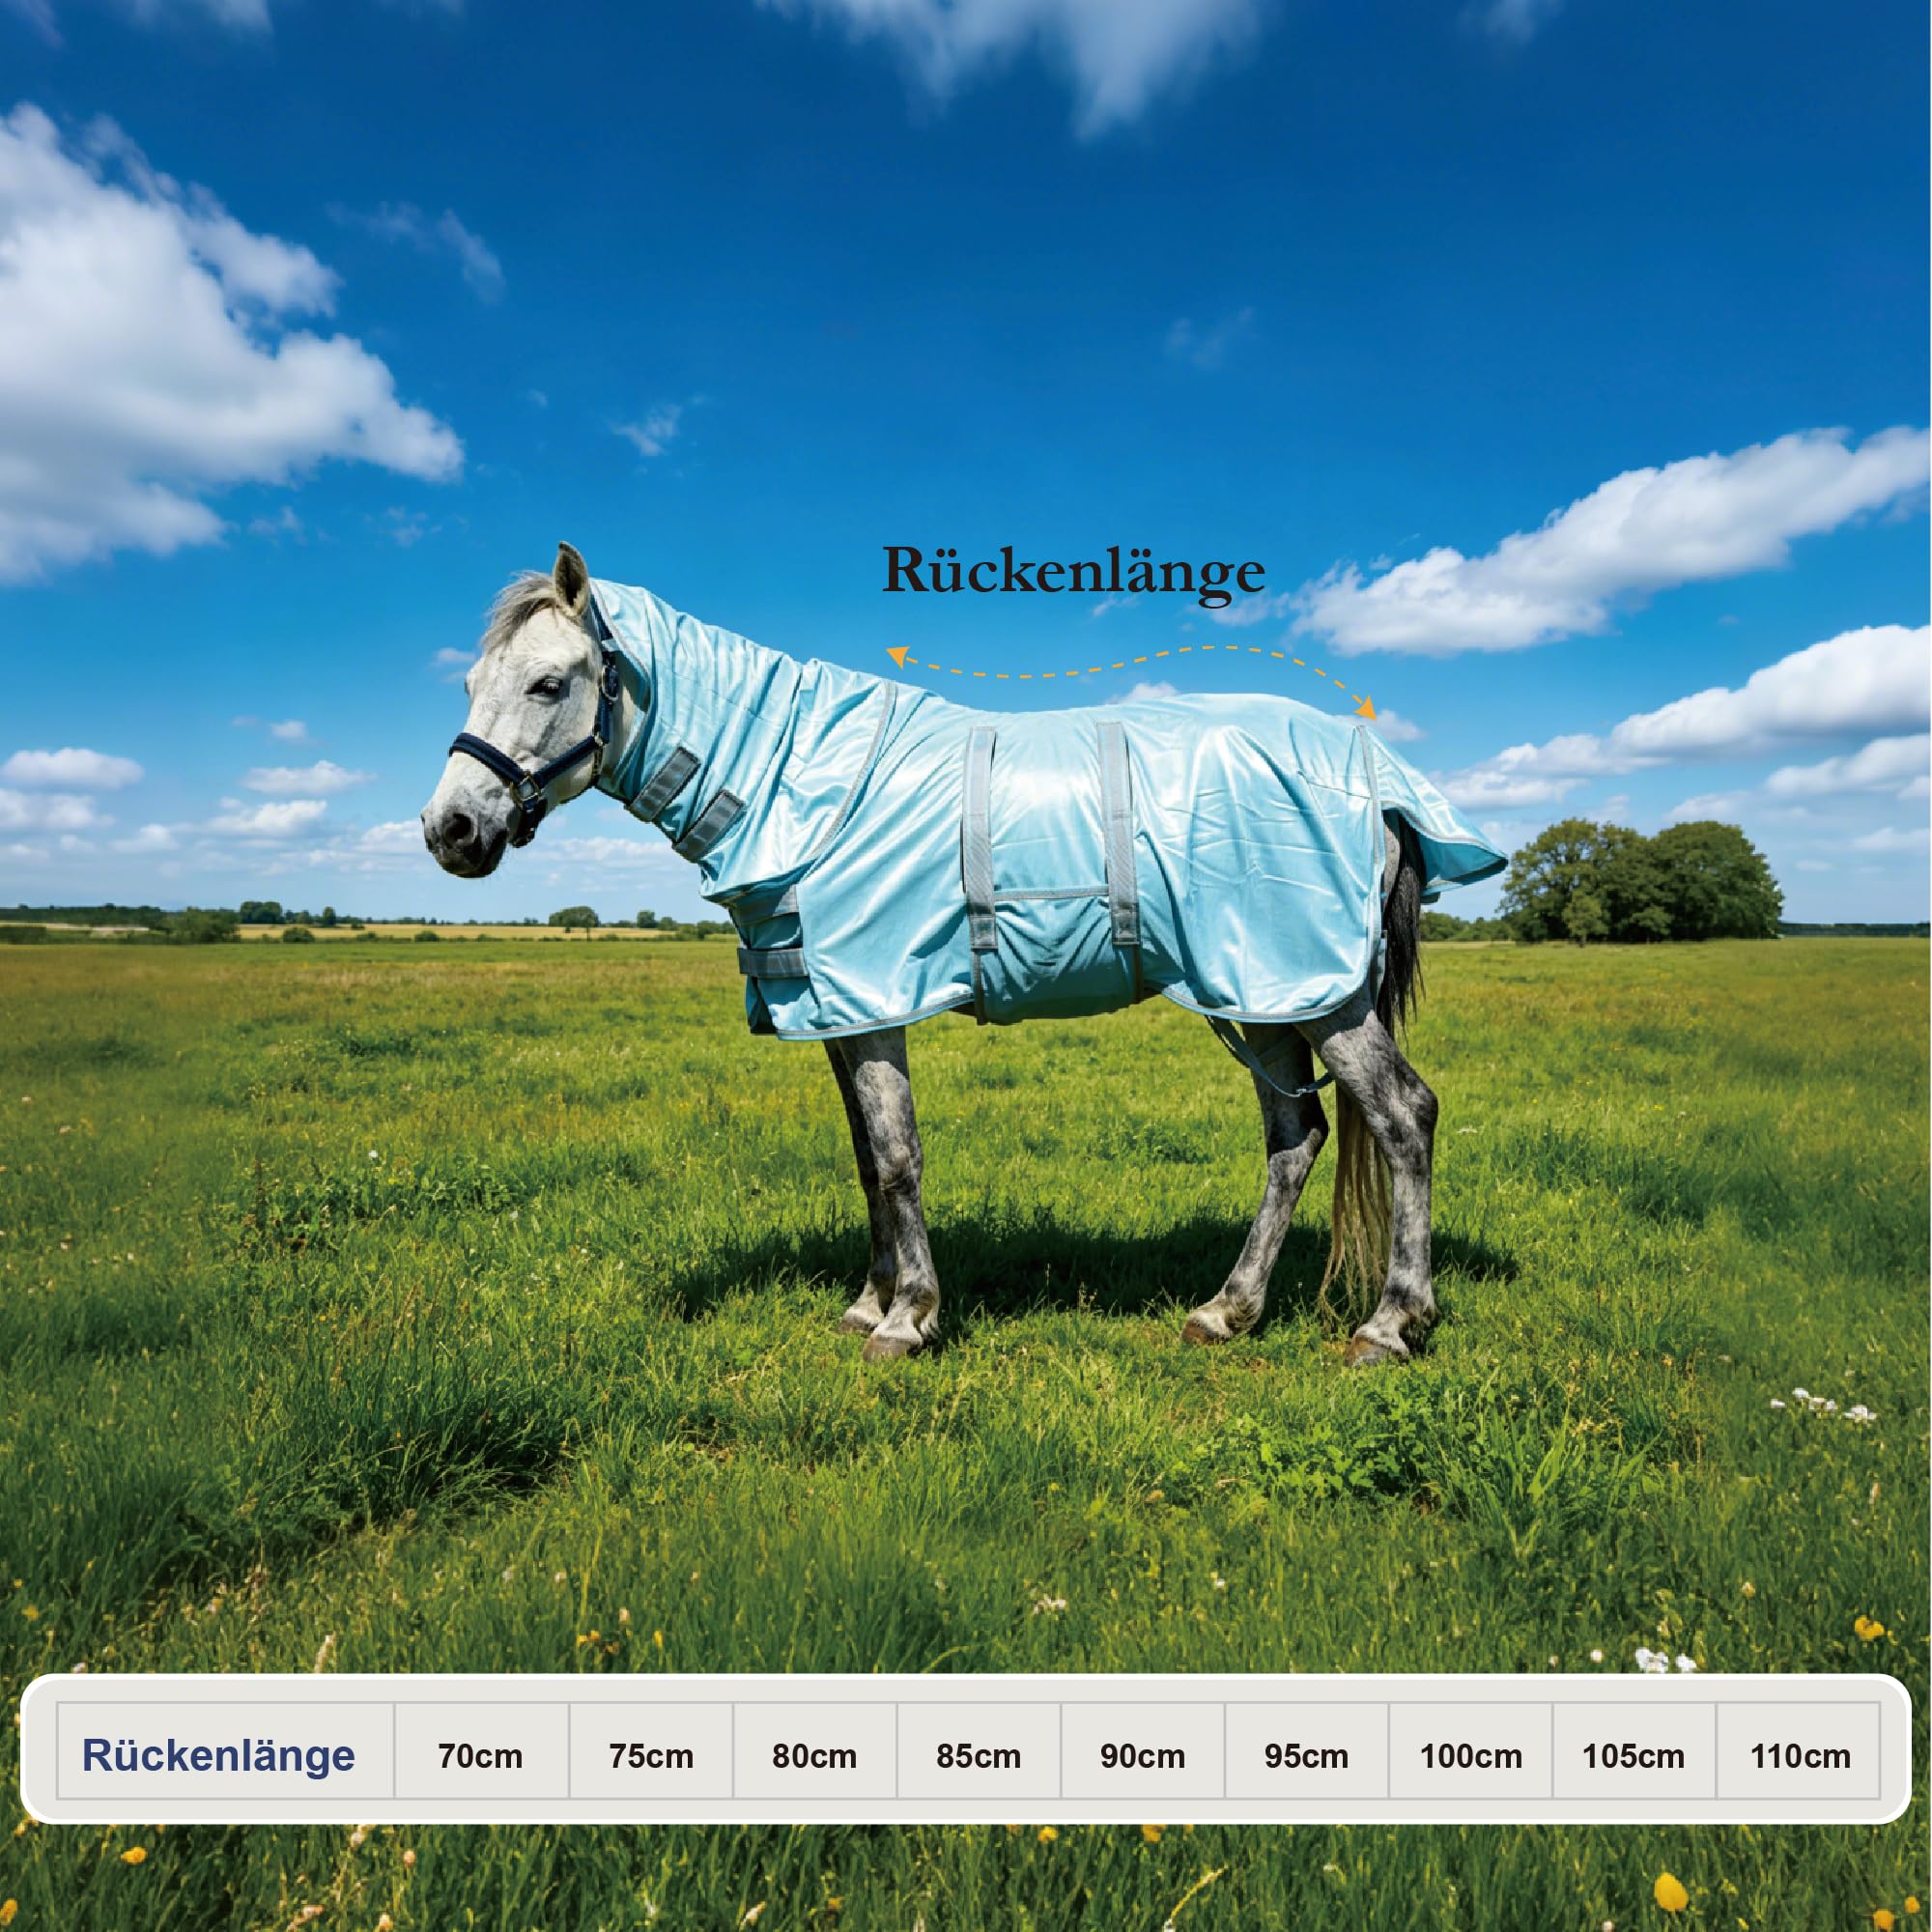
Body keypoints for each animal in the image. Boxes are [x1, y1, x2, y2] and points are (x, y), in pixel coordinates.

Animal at [420, 544, 1505, 1365]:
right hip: (1261, 990)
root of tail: (1377, 776)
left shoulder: (875, 1003)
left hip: (1316, 993)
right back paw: (1225, 1310)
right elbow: (865, 1159)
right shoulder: (835, 1009)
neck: (796, 777)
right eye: (470, 682)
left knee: (1404, 1117)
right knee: (1294, 1136)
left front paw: (907, 1321)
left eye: (549, 682)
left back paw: (1391, 1325)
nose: (449, 830)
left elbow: (898, 1156)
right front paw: (868, 1301)